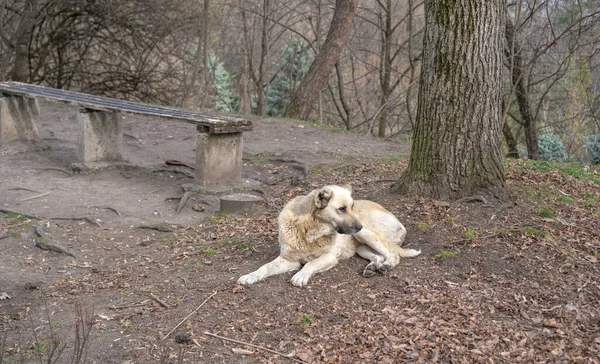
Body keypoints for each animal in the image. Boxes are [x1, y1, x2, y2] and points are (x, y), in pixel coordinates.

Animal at [237, 185, 420, 288]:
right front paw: (250, 276)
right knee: (378, 257)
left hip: (367, 235)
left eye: (352, 207)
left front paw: (301, 275)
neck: (310, 232)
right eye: (342, 209)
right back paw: (372, 267)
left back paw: (386, 266)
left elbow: (310, 263)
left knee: (393, 255)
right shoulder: (289, 259)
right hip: (361, 247)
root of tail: (399, 222)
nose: (359, 225)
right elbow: (265, 267)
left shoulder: (329, 257)